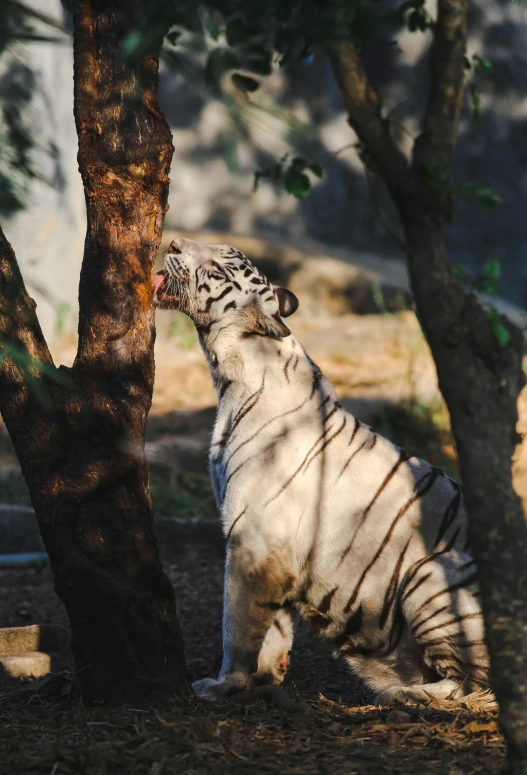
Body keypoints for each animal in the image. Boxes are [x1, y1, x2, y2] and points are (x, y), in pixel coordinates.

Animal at [153, 236, 490, 704]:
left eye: (217, 268)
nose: (172, 241)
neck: (231, 375)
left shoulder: (254, 539)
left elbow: (236, 624)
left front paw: (224, 684)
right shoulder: (271, 550)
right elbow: (271, 627)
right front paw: (264, 679)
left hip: (433, 576)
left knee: (474, 685)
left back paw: (406, 695)